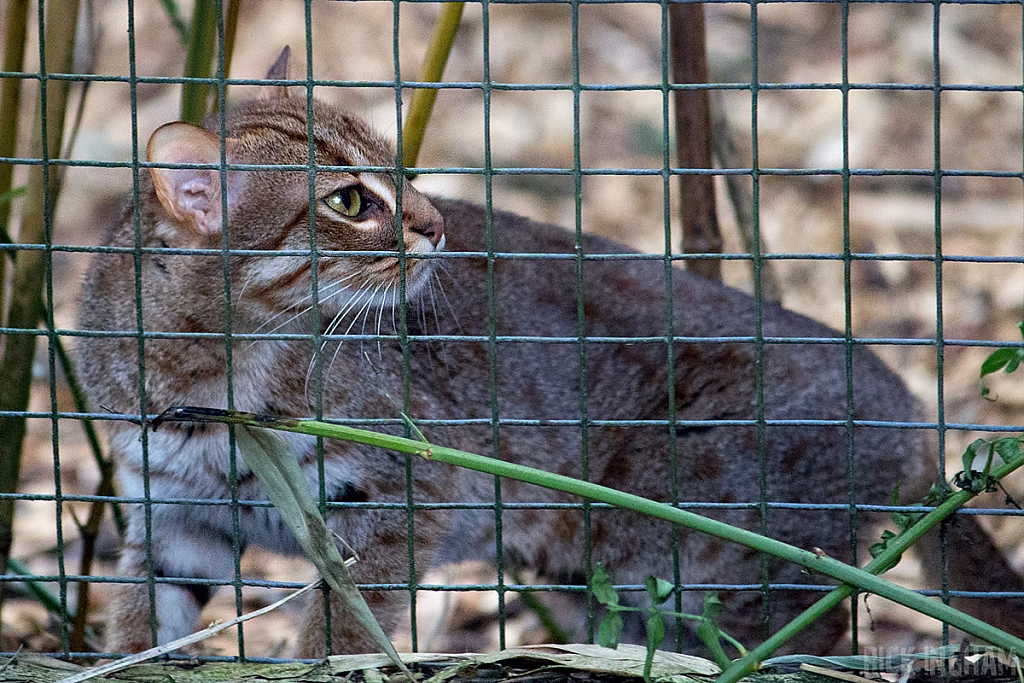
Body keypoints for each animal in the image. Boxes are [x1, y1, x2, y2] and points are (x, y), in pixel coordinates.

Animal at [75, 48, 1019, 655]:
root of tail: (910, 409)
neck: (207, 368)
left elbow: (343, 632)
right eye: (349, 201)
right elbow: (140, 620)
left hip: (710, 560)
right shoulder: (172, 511)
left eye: (399, 173)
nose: (438, 224)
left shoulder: (399, 498)